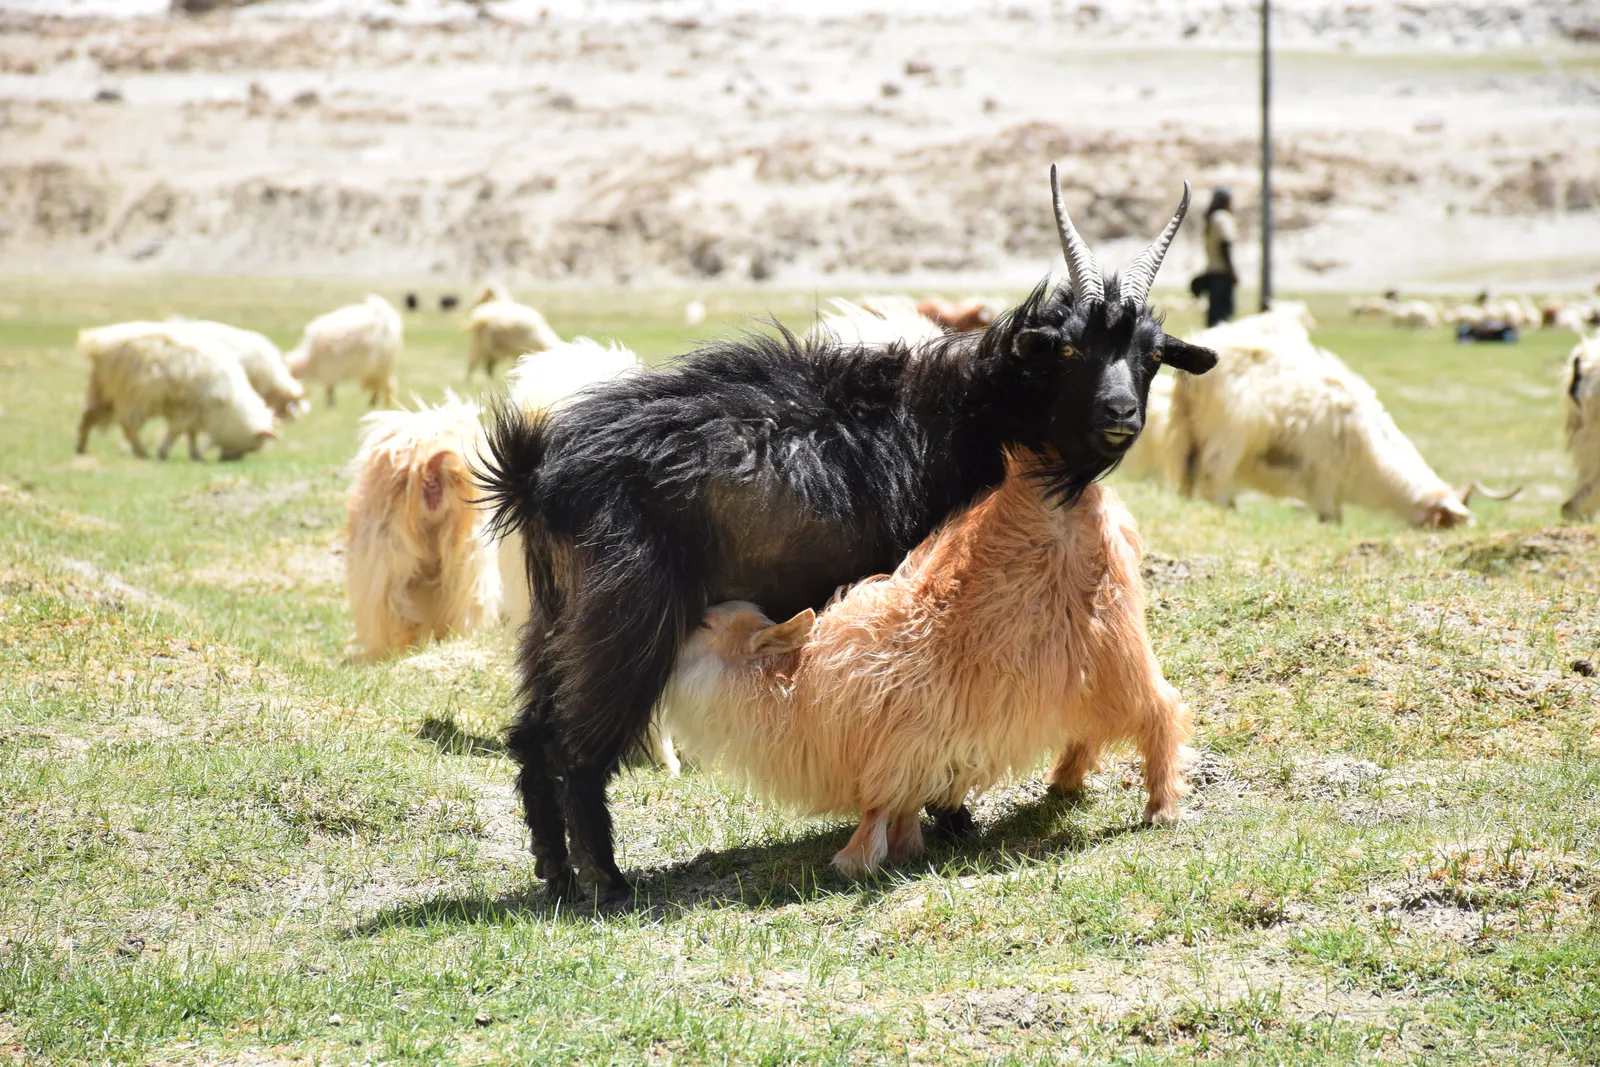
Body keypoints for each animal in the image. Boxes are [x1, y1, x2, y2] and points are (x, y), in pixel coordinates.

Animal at [663, 468, 1189, 876]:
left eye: (705, 624)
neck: (797, 688)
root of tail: (1097, 503)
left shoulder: (897, 747)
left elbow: (876, 806)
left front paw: (855, 859)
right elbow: (900, 806)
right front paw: (903, 847)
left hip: (1115, 653)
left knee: (1161, 710)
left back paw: (1161, 808)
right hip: (1078, 673)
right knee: (1087, 728)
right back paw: (1063, 781)